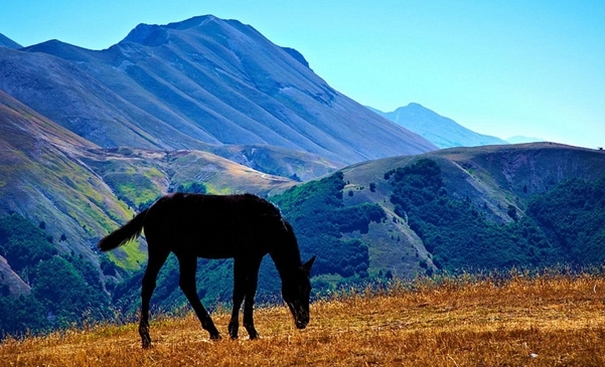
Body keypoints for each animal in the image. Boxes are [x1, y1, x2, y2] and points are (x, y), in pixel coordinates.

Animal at [96, 194, 314, 350]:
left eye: (309, 289)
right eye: (298, 288)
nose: (304, 321)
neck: (269, 224)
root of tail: (150, 210)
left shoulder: (255, 255)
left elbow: (250, 289)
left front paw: (251, 330)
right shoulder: (242, 254)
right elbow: (238, 291)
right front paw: (234, 331)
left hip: (185, 252)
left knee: (186, 284)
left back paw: (213, 331)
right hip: (160, 247)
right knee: (149, 283)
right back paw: (146, 338)